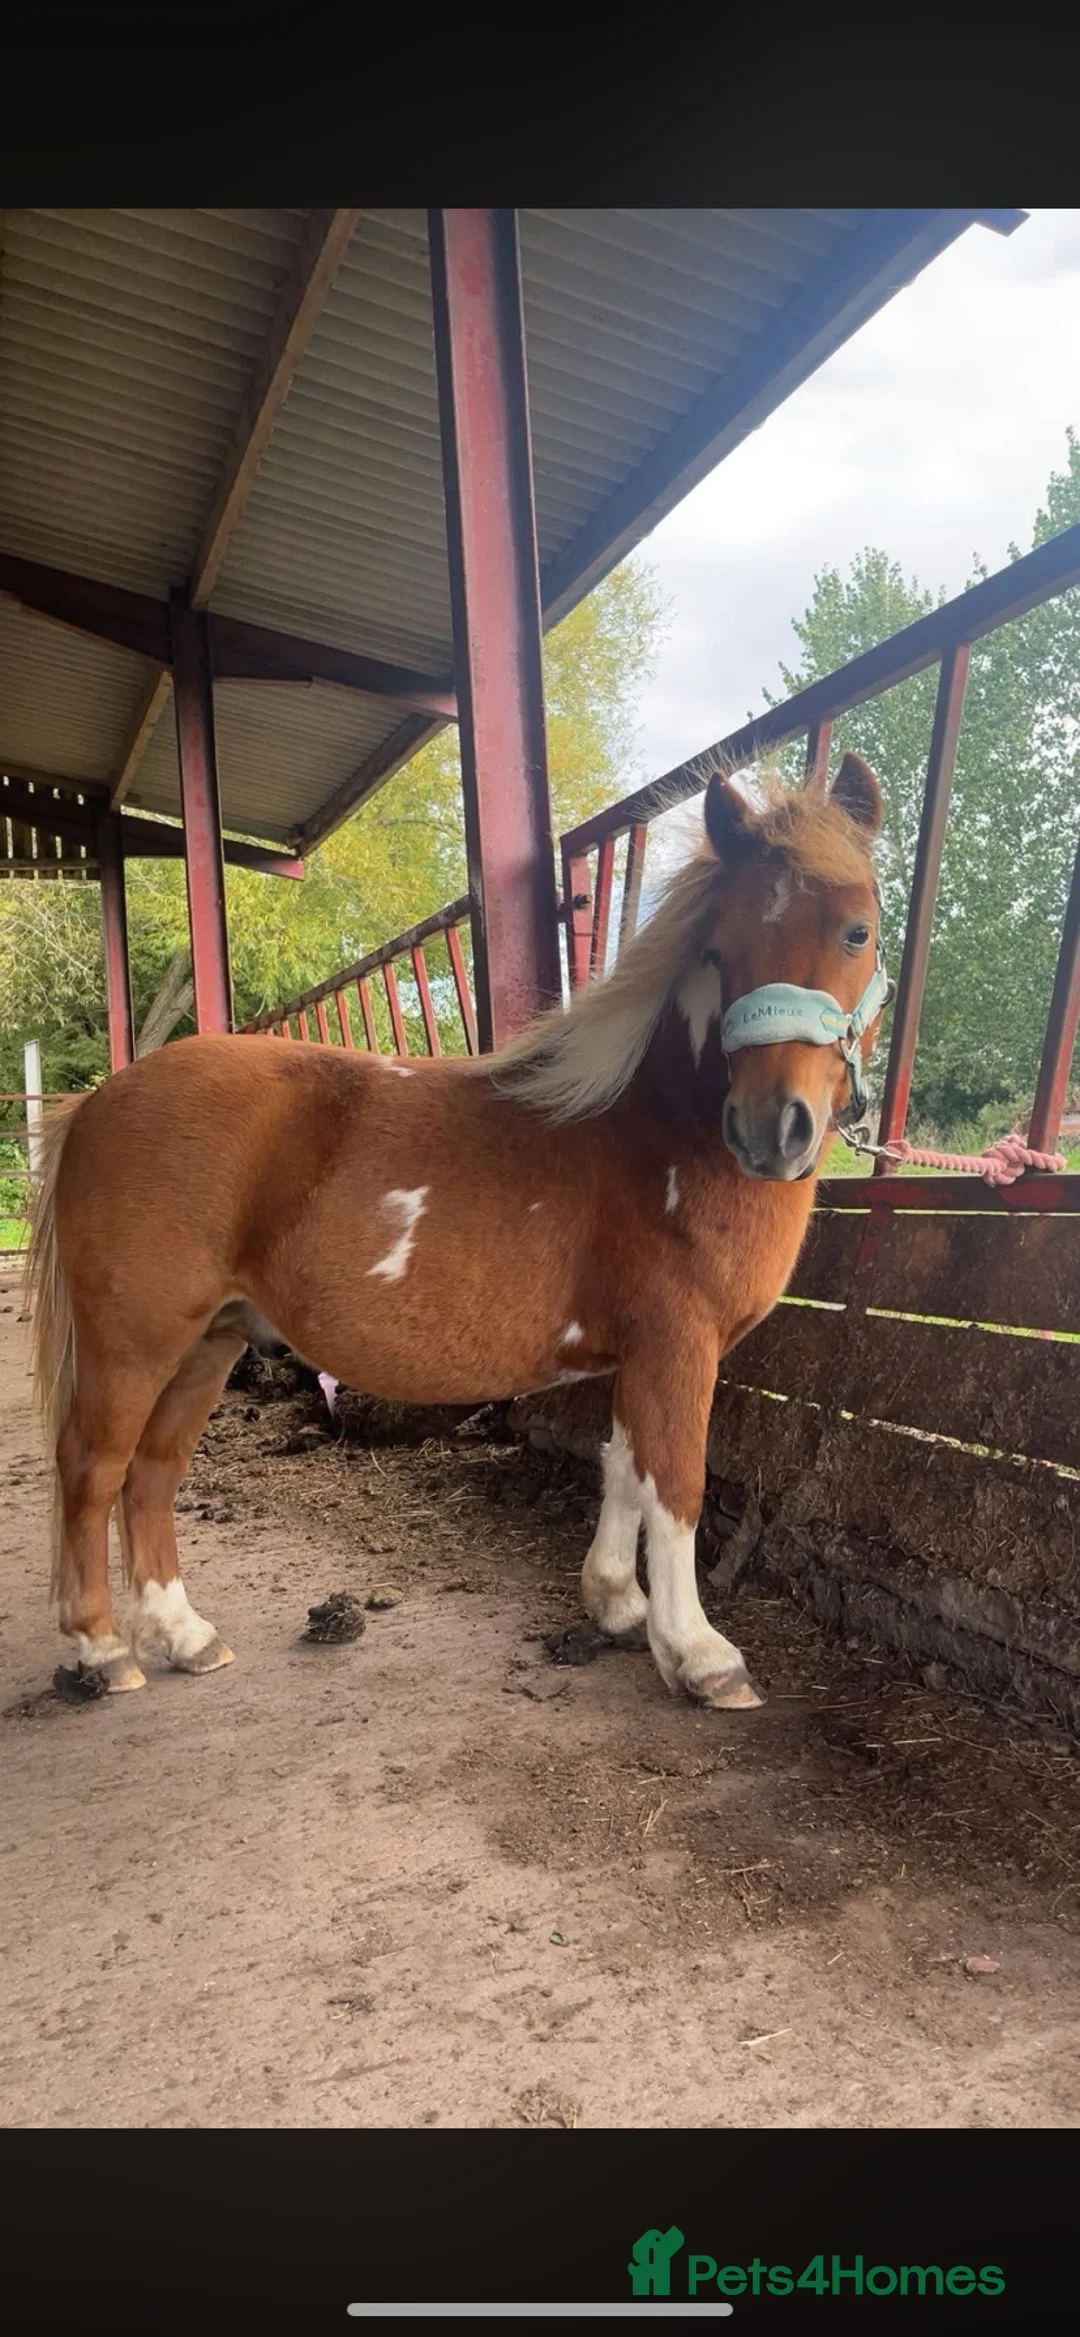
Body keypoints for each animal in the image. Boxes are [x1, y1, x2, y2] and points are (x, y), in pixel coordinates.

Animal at [26, 751, 888, 1711]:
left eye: (856, 930)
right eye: (717, 948)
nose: (773, 1129)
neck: (661, 1129)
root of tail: (95, 1103)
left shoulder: (640, 1352)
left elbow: (622, 1464)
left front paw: (617, 1603)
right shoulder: (678, 1345)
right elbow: (676, 1483)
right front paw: (698, 1652)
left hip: (208, 1341)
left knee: (151, 1473)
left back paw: (184, 1633)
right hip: (135, 1342)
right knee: (93, 1468)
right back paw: (103, 1648)